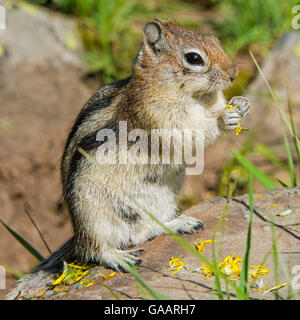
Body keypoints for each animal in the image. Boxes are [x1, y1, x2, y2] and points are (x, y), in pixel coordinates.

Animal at [11, 18, 251, 284]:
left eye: (215, 41)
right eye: (194, 58)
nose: (234, 74)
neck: (195, 97)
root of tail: (78, 235)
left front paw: (241, 104)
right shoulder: (156, 117)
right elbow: (190, 135)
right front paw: (225, 119)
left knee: (142, 232)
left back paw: (179, 224)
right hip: (92, 215)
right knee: (96, 249)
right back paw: (118, 257)